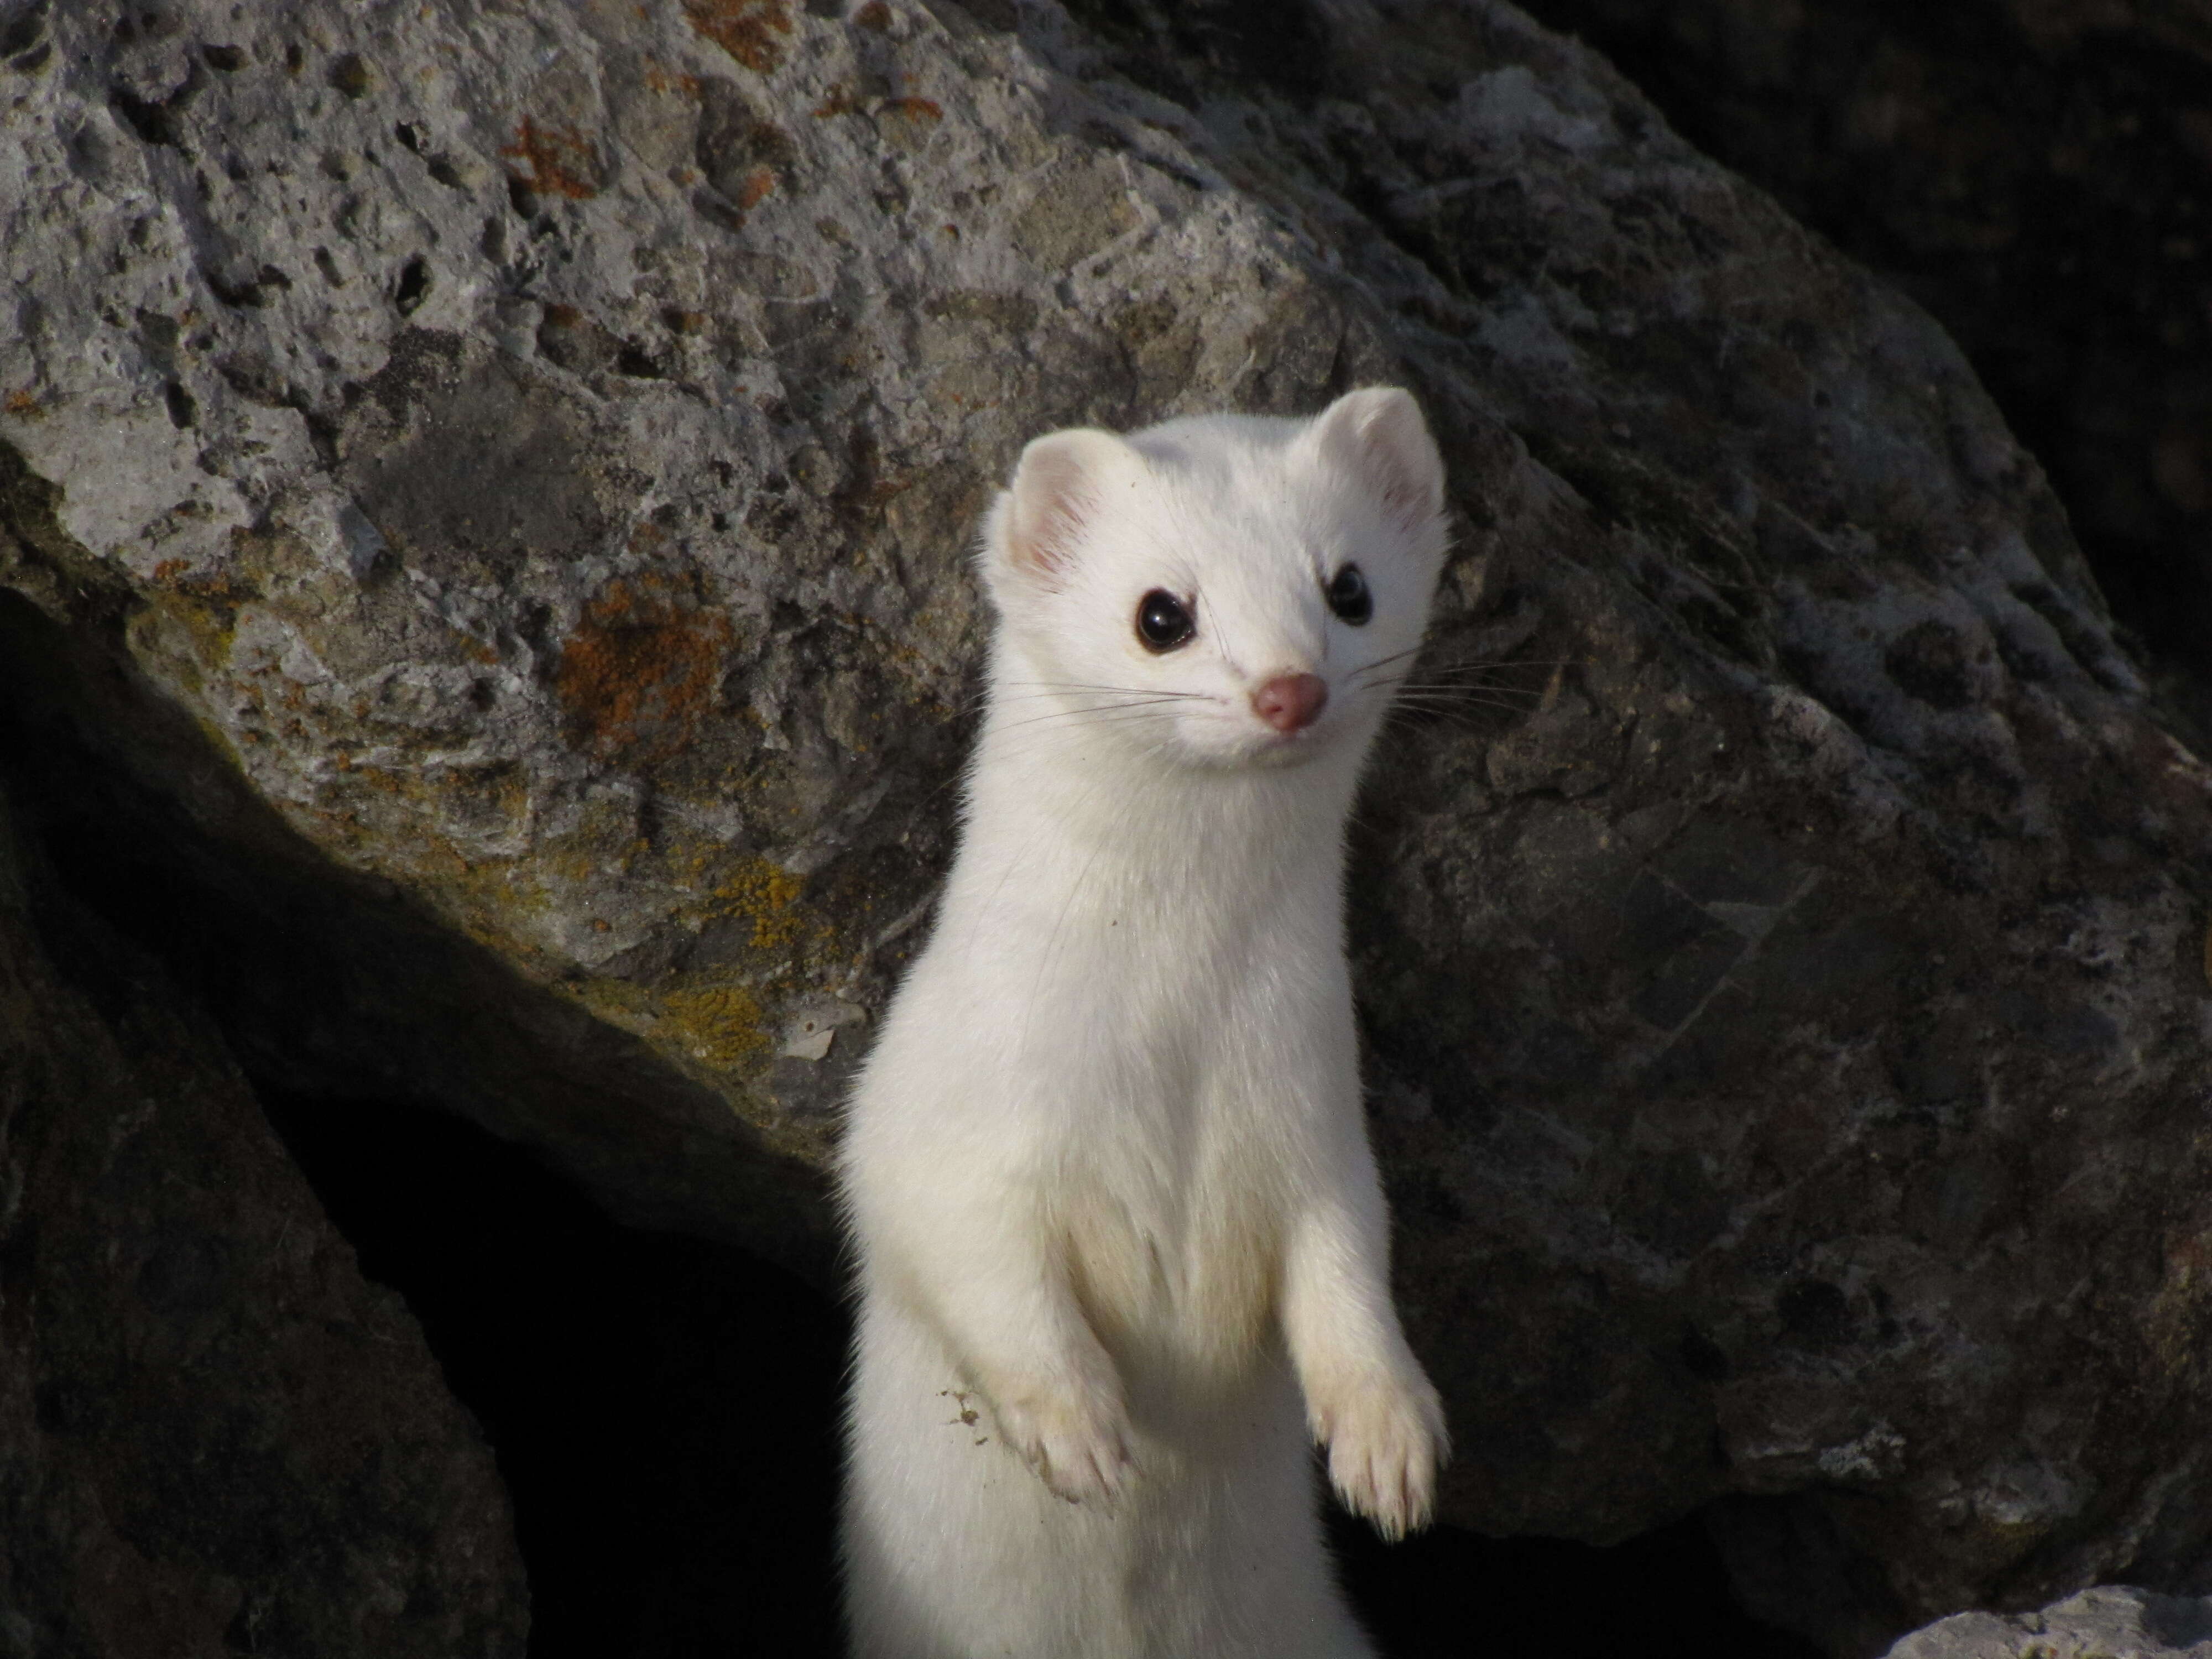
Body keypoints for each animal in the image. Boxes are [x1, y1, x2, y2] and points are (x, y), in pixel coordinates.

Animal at [841, 394, 1451, 1659]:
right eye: (1161, 613)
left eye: (1350, 586)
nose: (1288, 688)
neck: (1180, 1025)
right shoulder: (946, 1099)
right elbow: (968, 1256)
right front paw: (1075, 1425)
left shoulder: (1317, 1113)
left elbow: (1347, 1268)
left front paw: (1387, 1437)